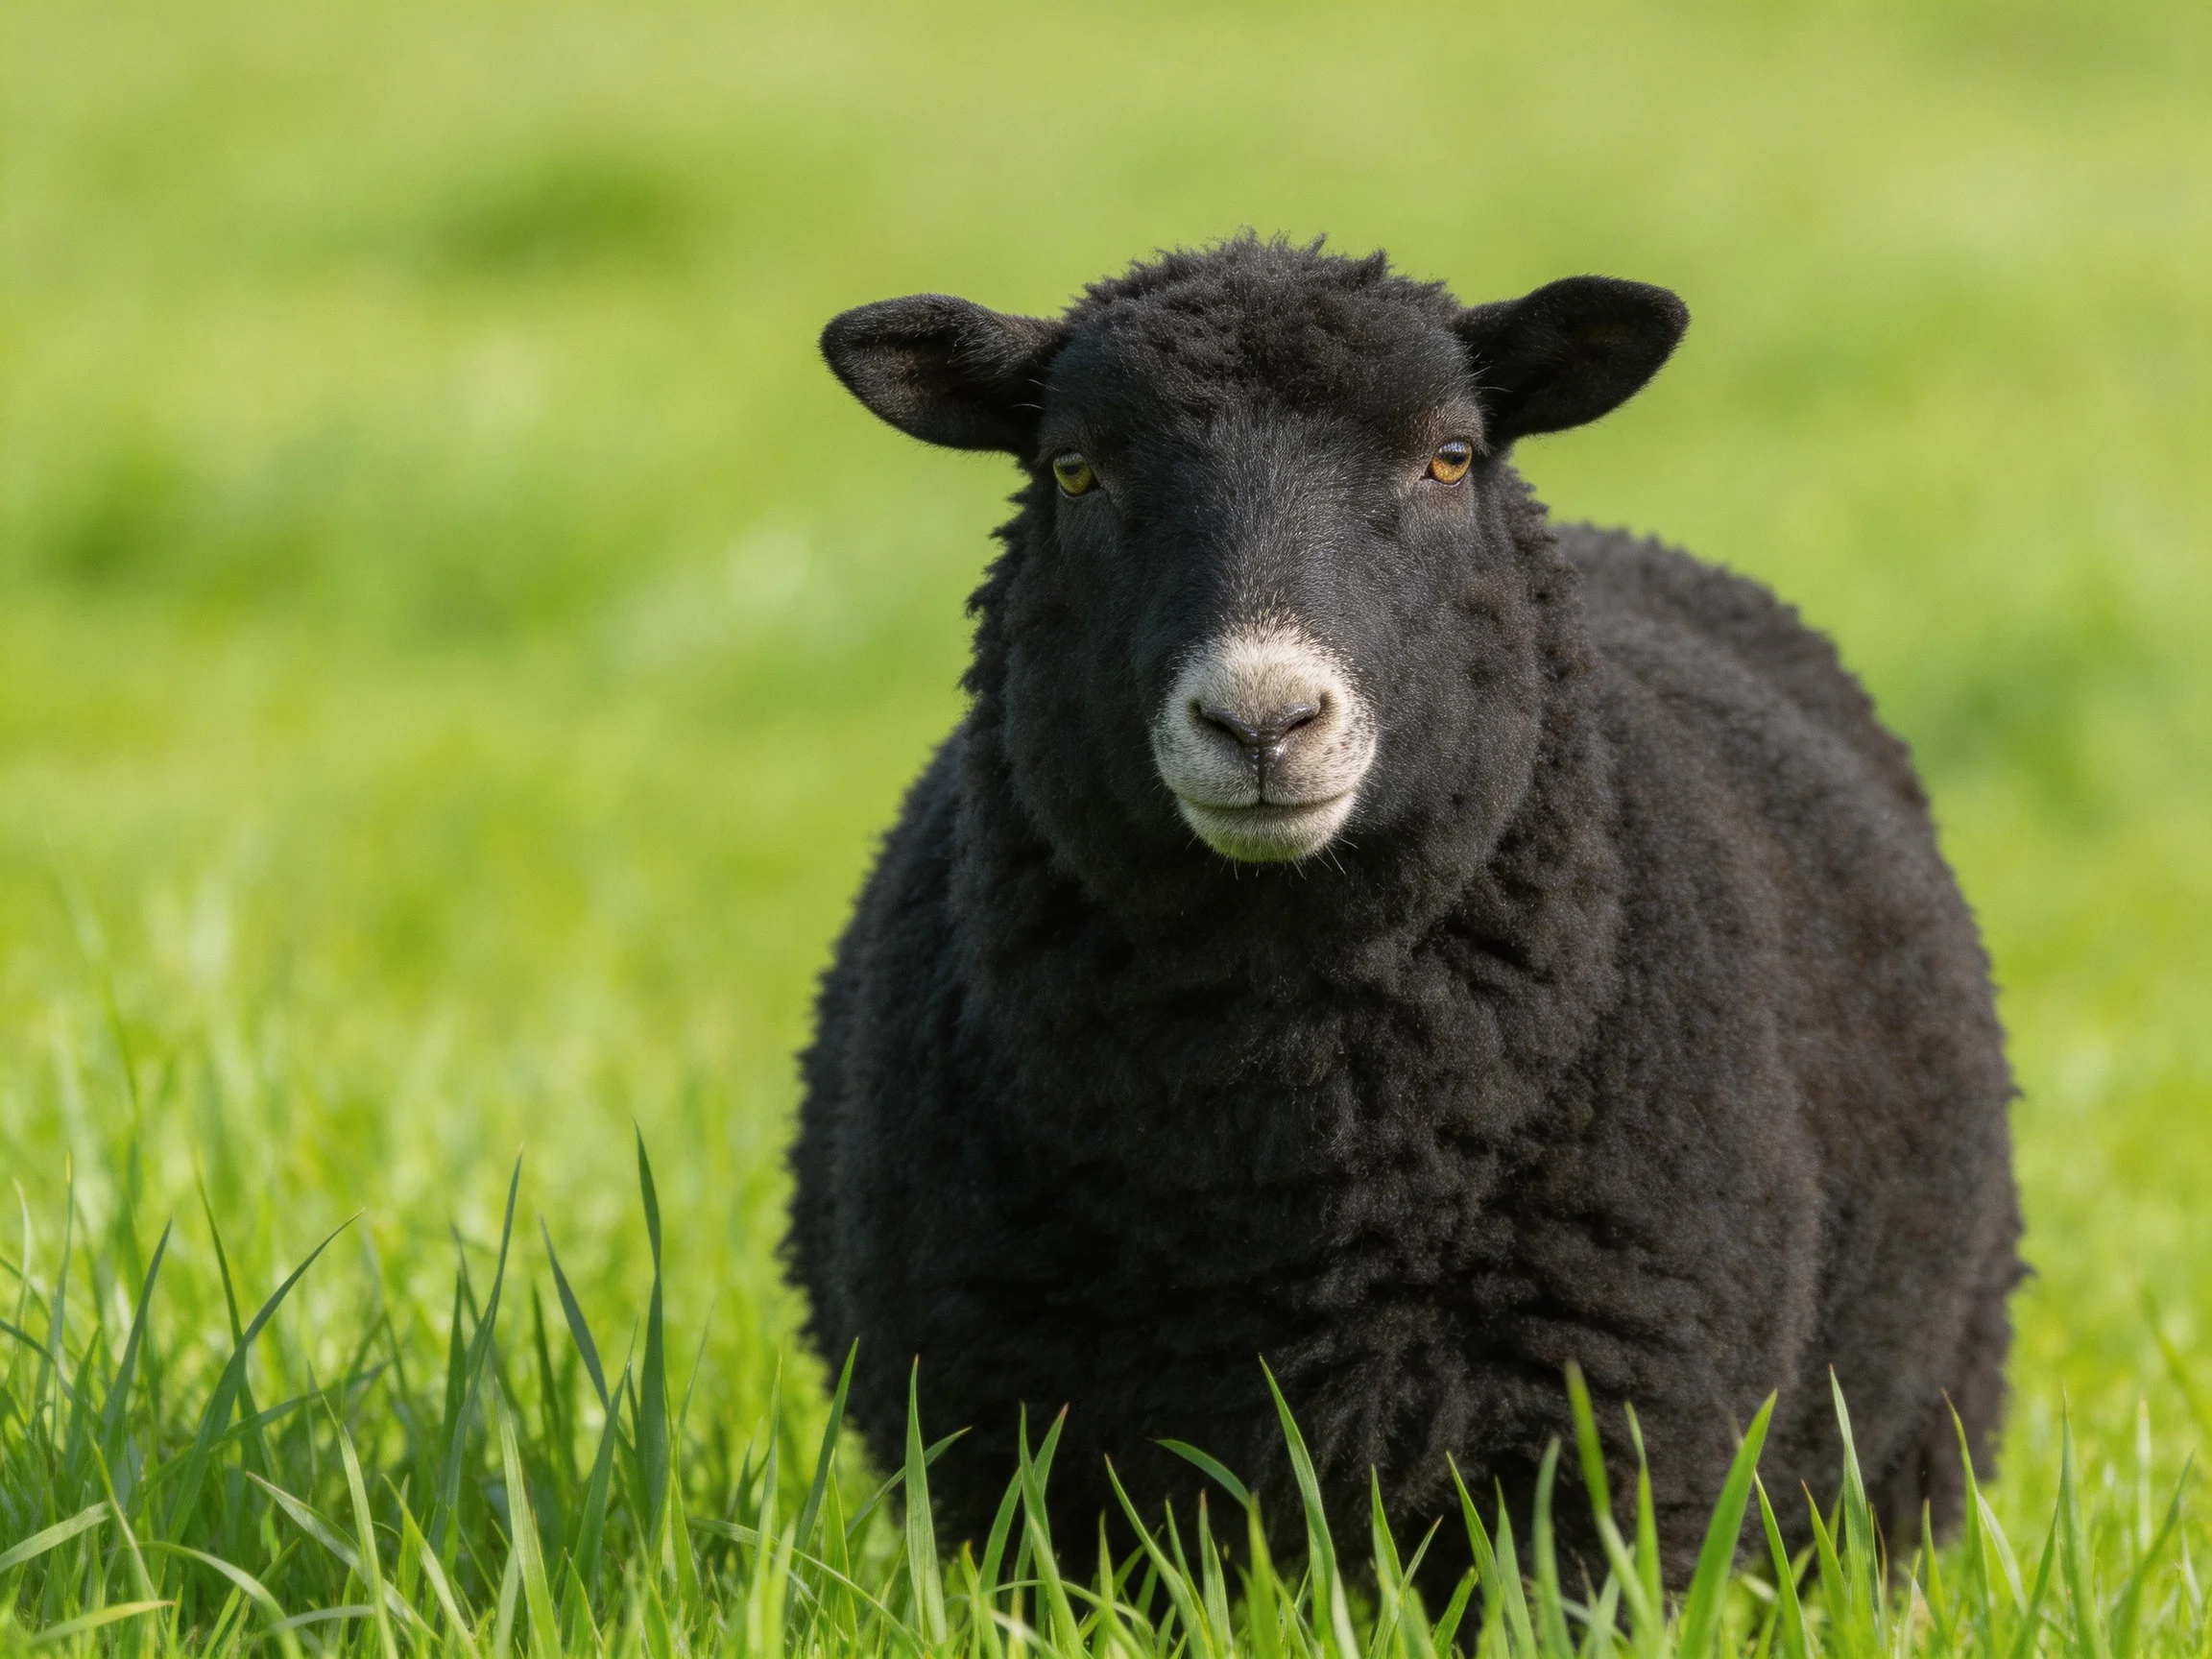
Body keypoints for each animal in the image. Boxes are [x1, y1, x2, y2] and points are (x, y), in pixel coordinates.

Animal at [785, 236, 2022, 1583]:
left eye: (1450, 455)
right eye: (1073, 467)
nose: (1262, 721)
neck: (1291, 1148)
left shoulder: (1611, 1459)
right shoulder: (1011, 1464)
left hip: (1924, 1427)